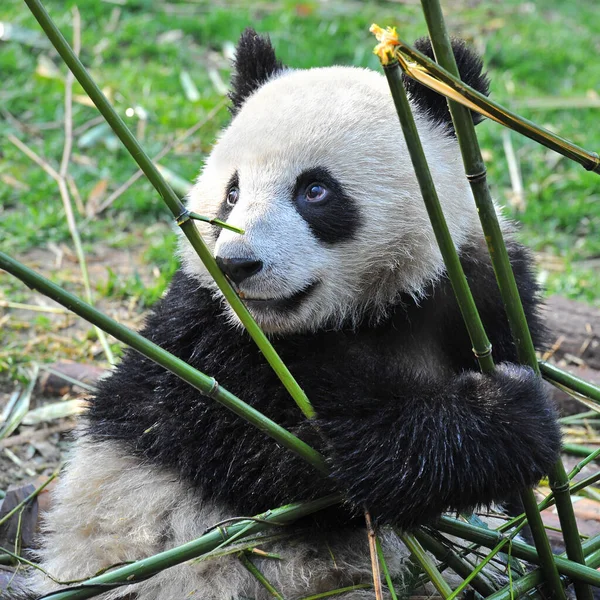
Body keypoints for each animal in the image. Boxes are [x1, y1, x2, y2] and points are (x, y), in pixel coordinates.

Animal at [23, 30, 560, 600]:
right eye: (232, 193)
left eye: (315, 190)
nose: (237, 265)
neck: (361, 311)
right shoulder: (205, 338)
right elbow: (303, 449)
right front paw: (507, 413)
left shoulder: (475, 287)